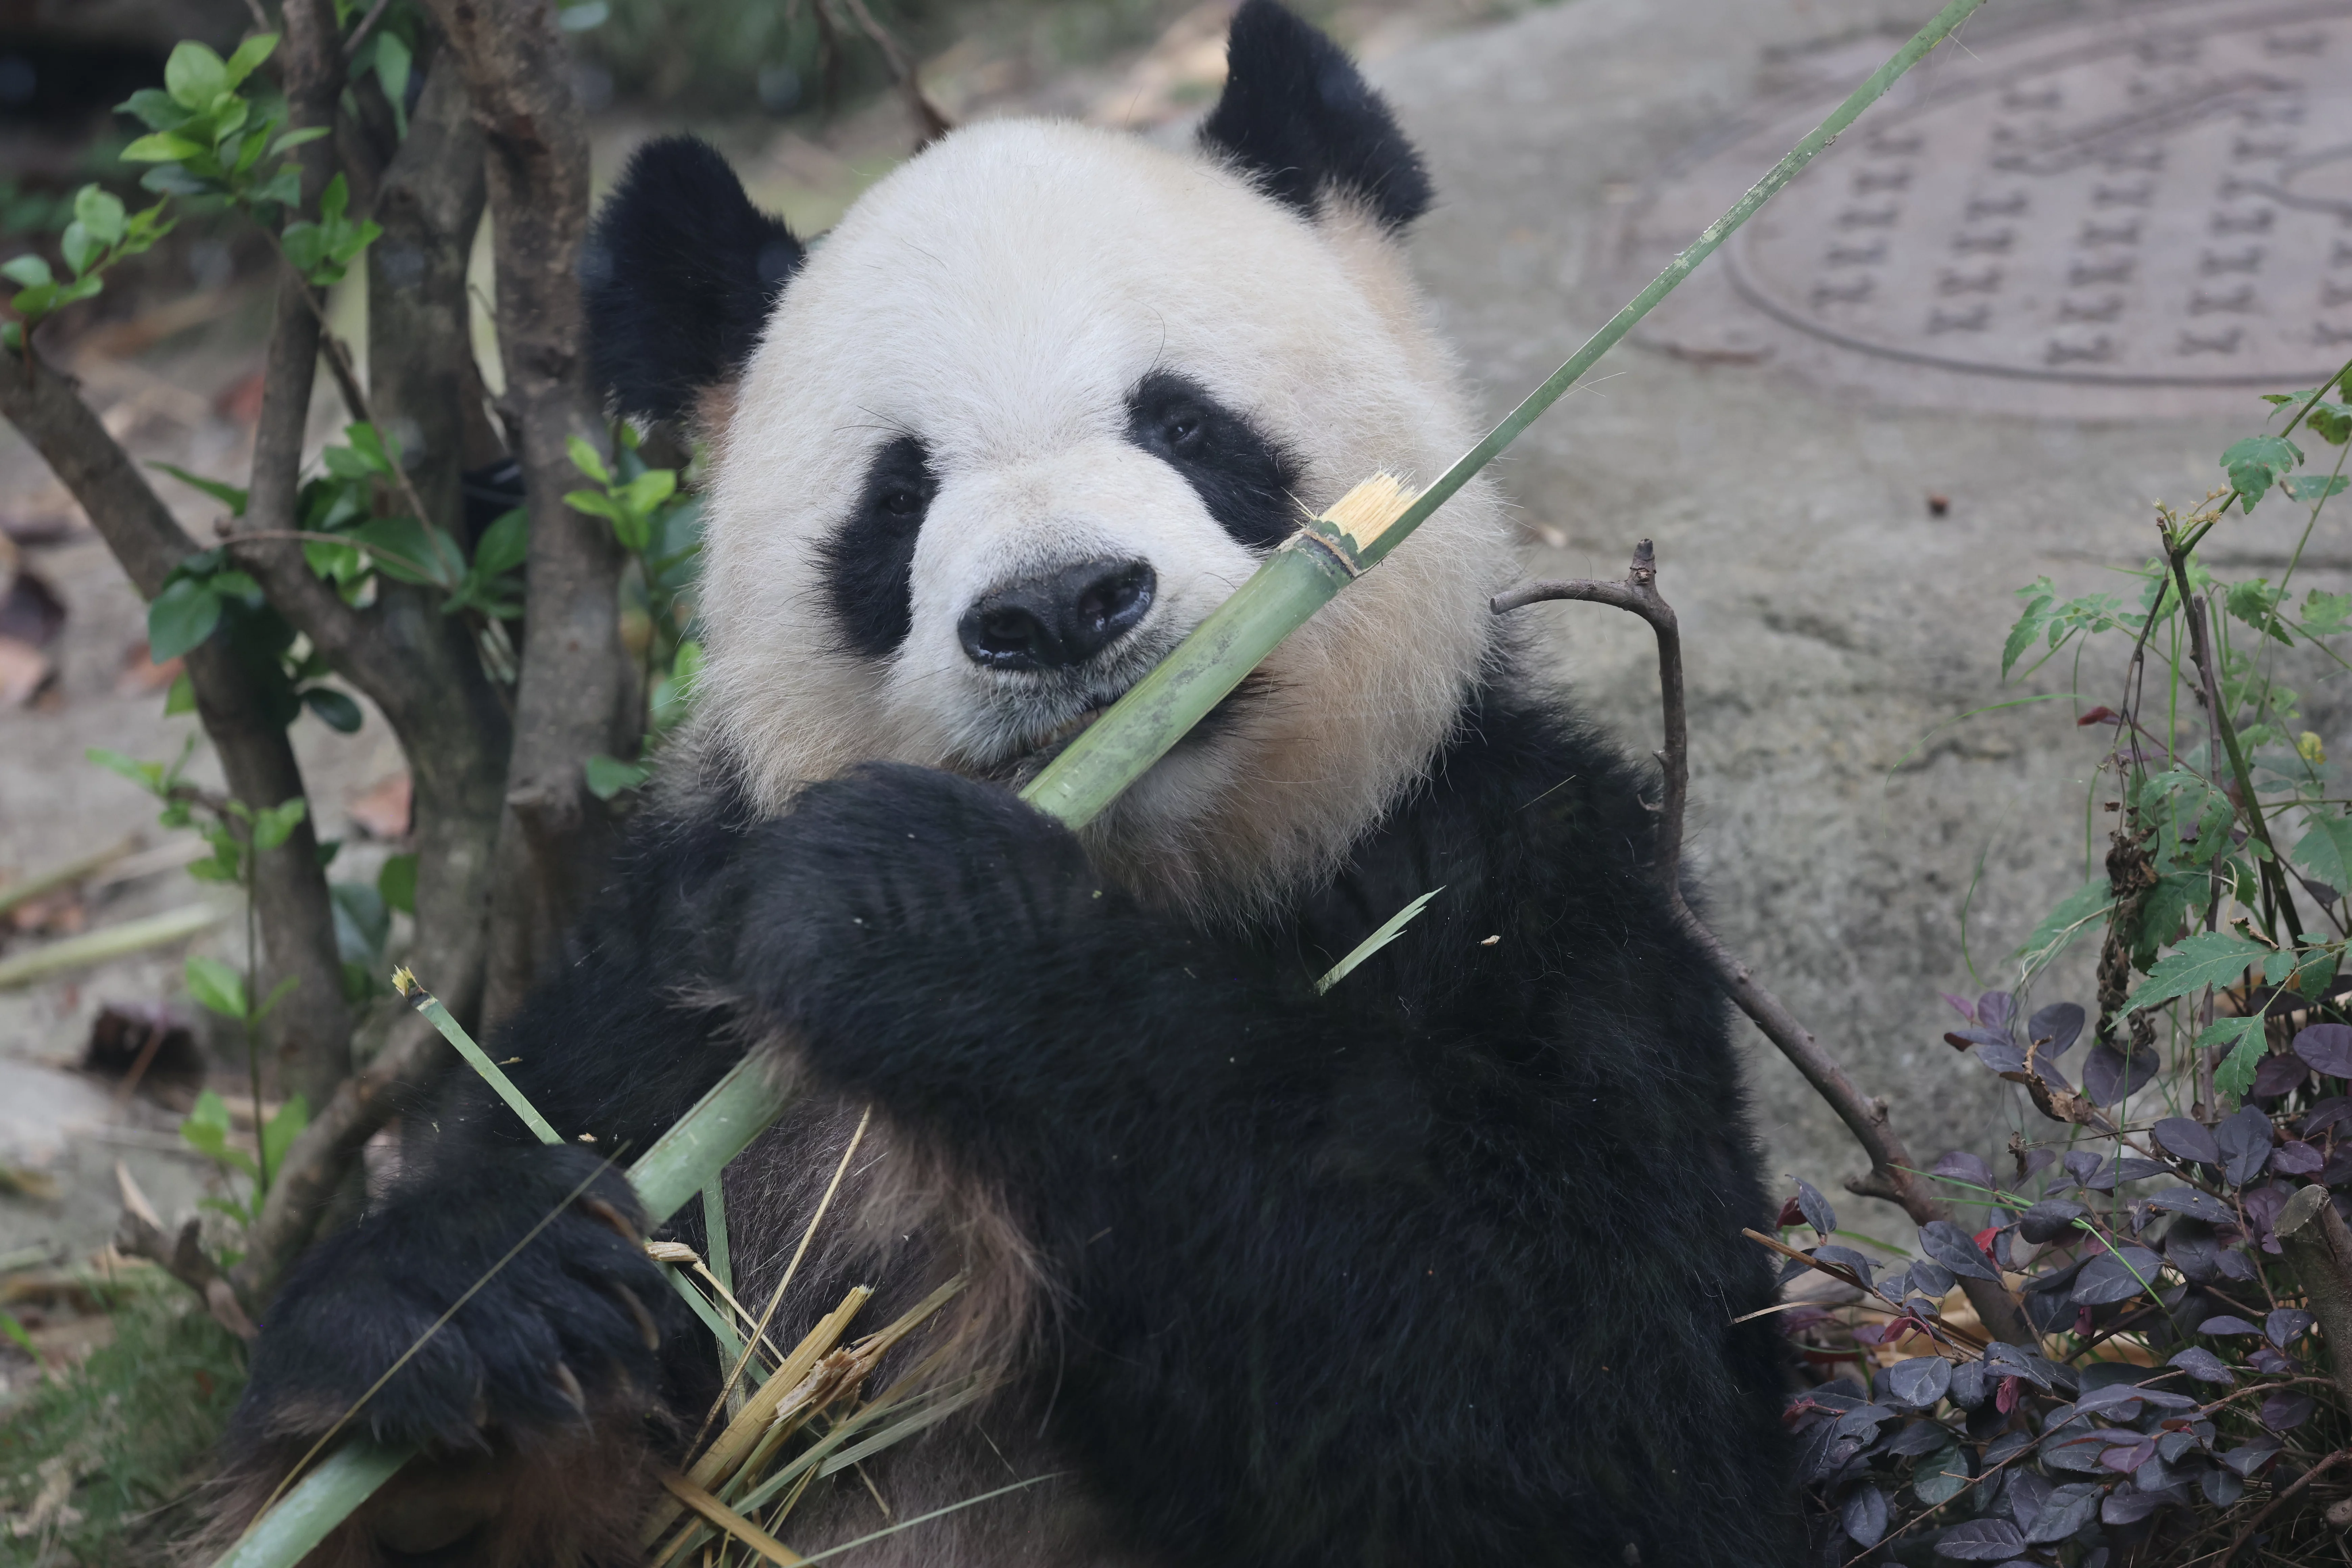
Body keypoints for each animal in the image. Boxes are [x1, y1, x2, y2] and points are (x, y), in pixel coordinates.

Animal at [220, 5, 1798, 1564]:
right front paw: (460, 1293)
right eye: (896, 498)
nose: (1056, 608)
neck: (1157, 865)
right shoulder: (657, 1001)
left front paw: (922, 911)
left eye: (1184, 426)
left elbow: (1579, 1398)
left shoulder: (1524, 884)